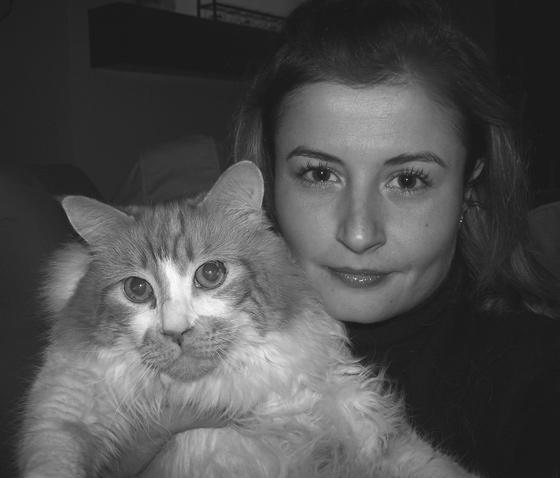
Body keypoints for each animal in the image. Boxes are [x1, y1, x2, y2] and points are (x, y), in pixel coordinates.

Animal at [18, 161, 480, 478]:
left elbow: (428, 462)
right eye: (137, 290)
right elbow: (54, 460)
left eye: (210, 274)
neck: (210, 391)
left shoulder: (360, 422)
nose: (176, 332)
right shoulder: (65, 408)